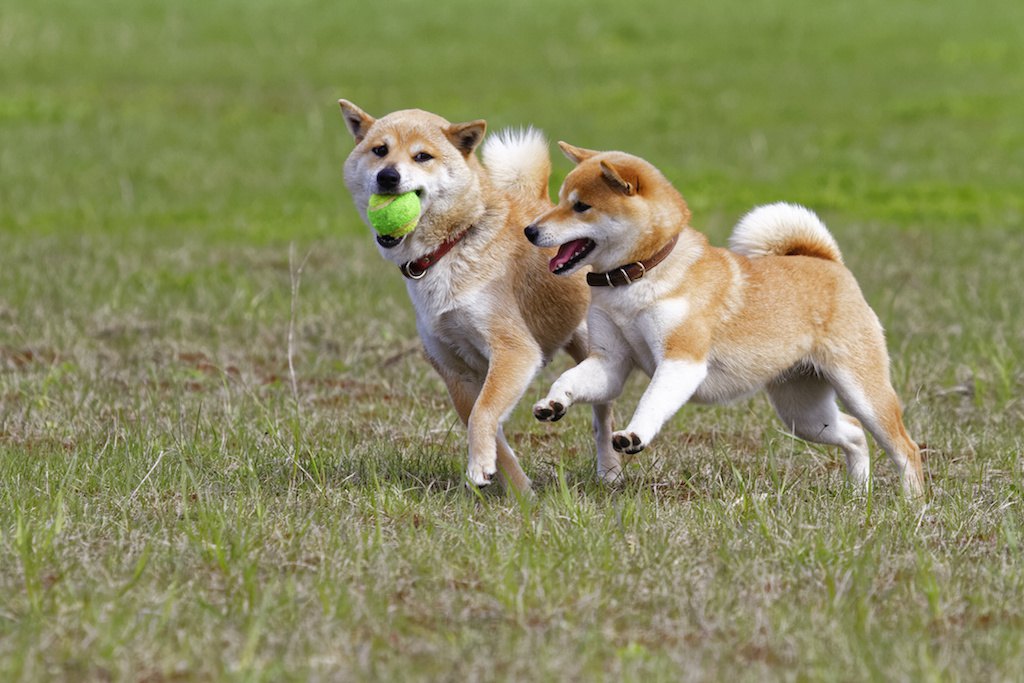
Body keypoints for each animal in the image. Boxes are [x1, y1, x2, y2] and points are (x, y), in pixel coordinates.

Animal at [337, 101, 614, 491]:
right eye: (380, 150)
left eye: (422, 156)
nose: (388, 176)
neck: (452, 245)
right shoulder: (457, 373)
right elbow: (485, 426)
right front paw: (516, 488)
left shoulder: (513, 351)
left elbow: (483, 414)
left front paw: (485, 467)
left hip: (593, 347)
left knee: (602, 419)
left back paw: (610, 470)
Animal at [528, 143, 929, 497]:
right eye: (559, 199)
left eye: (581, 206)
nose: (530, 230)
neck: (641, 274)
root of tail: (829, 262)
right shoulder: (610, 362)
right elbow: (570, 379)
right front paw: (553, 403)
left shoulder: (682, 361)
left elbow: (651, 401)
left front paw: (635, 434)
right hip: (804, 413)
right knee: (855, 433)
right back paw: (859, 494)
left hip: (862, 390)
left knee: (905, 448)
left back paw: (912, 504)